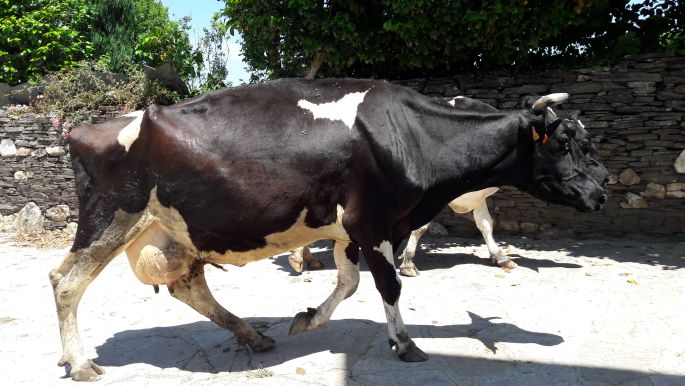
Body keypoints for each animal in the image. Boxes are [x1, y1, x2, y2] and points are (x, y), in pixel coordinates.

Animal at [49, 78, 604, 380]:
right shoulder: (374, 220)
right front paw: (405, 344)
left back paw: (253, 335)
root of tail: (87, 126)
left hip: (173, 233)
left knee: (190, 286)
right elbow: (388, 285)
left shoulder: (349, 230)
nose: (601, 192)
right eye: (564, 144)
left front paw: (306, 318)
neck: (415, 135)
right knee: (66, 282)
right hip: (110, 218)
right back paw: (80, 363)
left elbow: (350, 282)